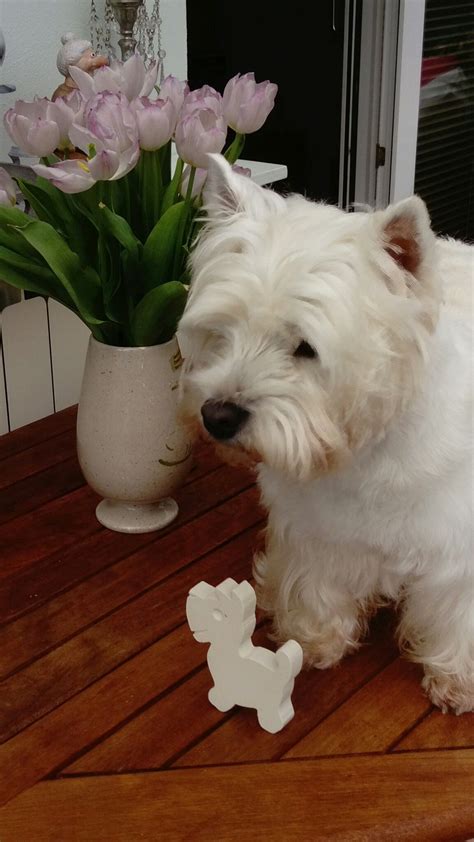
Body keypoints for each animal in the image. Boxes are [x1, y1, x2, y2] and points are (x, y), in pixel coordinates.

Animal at [179, 154, 474, 712]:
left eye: (305, 348)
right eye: (223, 331)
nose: (217, 416)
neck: (365, 450)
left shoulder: (459, 547)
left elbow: (459, 613)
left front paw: (456, 678)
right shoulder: (318, 527)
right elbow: (318, 580)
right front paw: (315, 639)